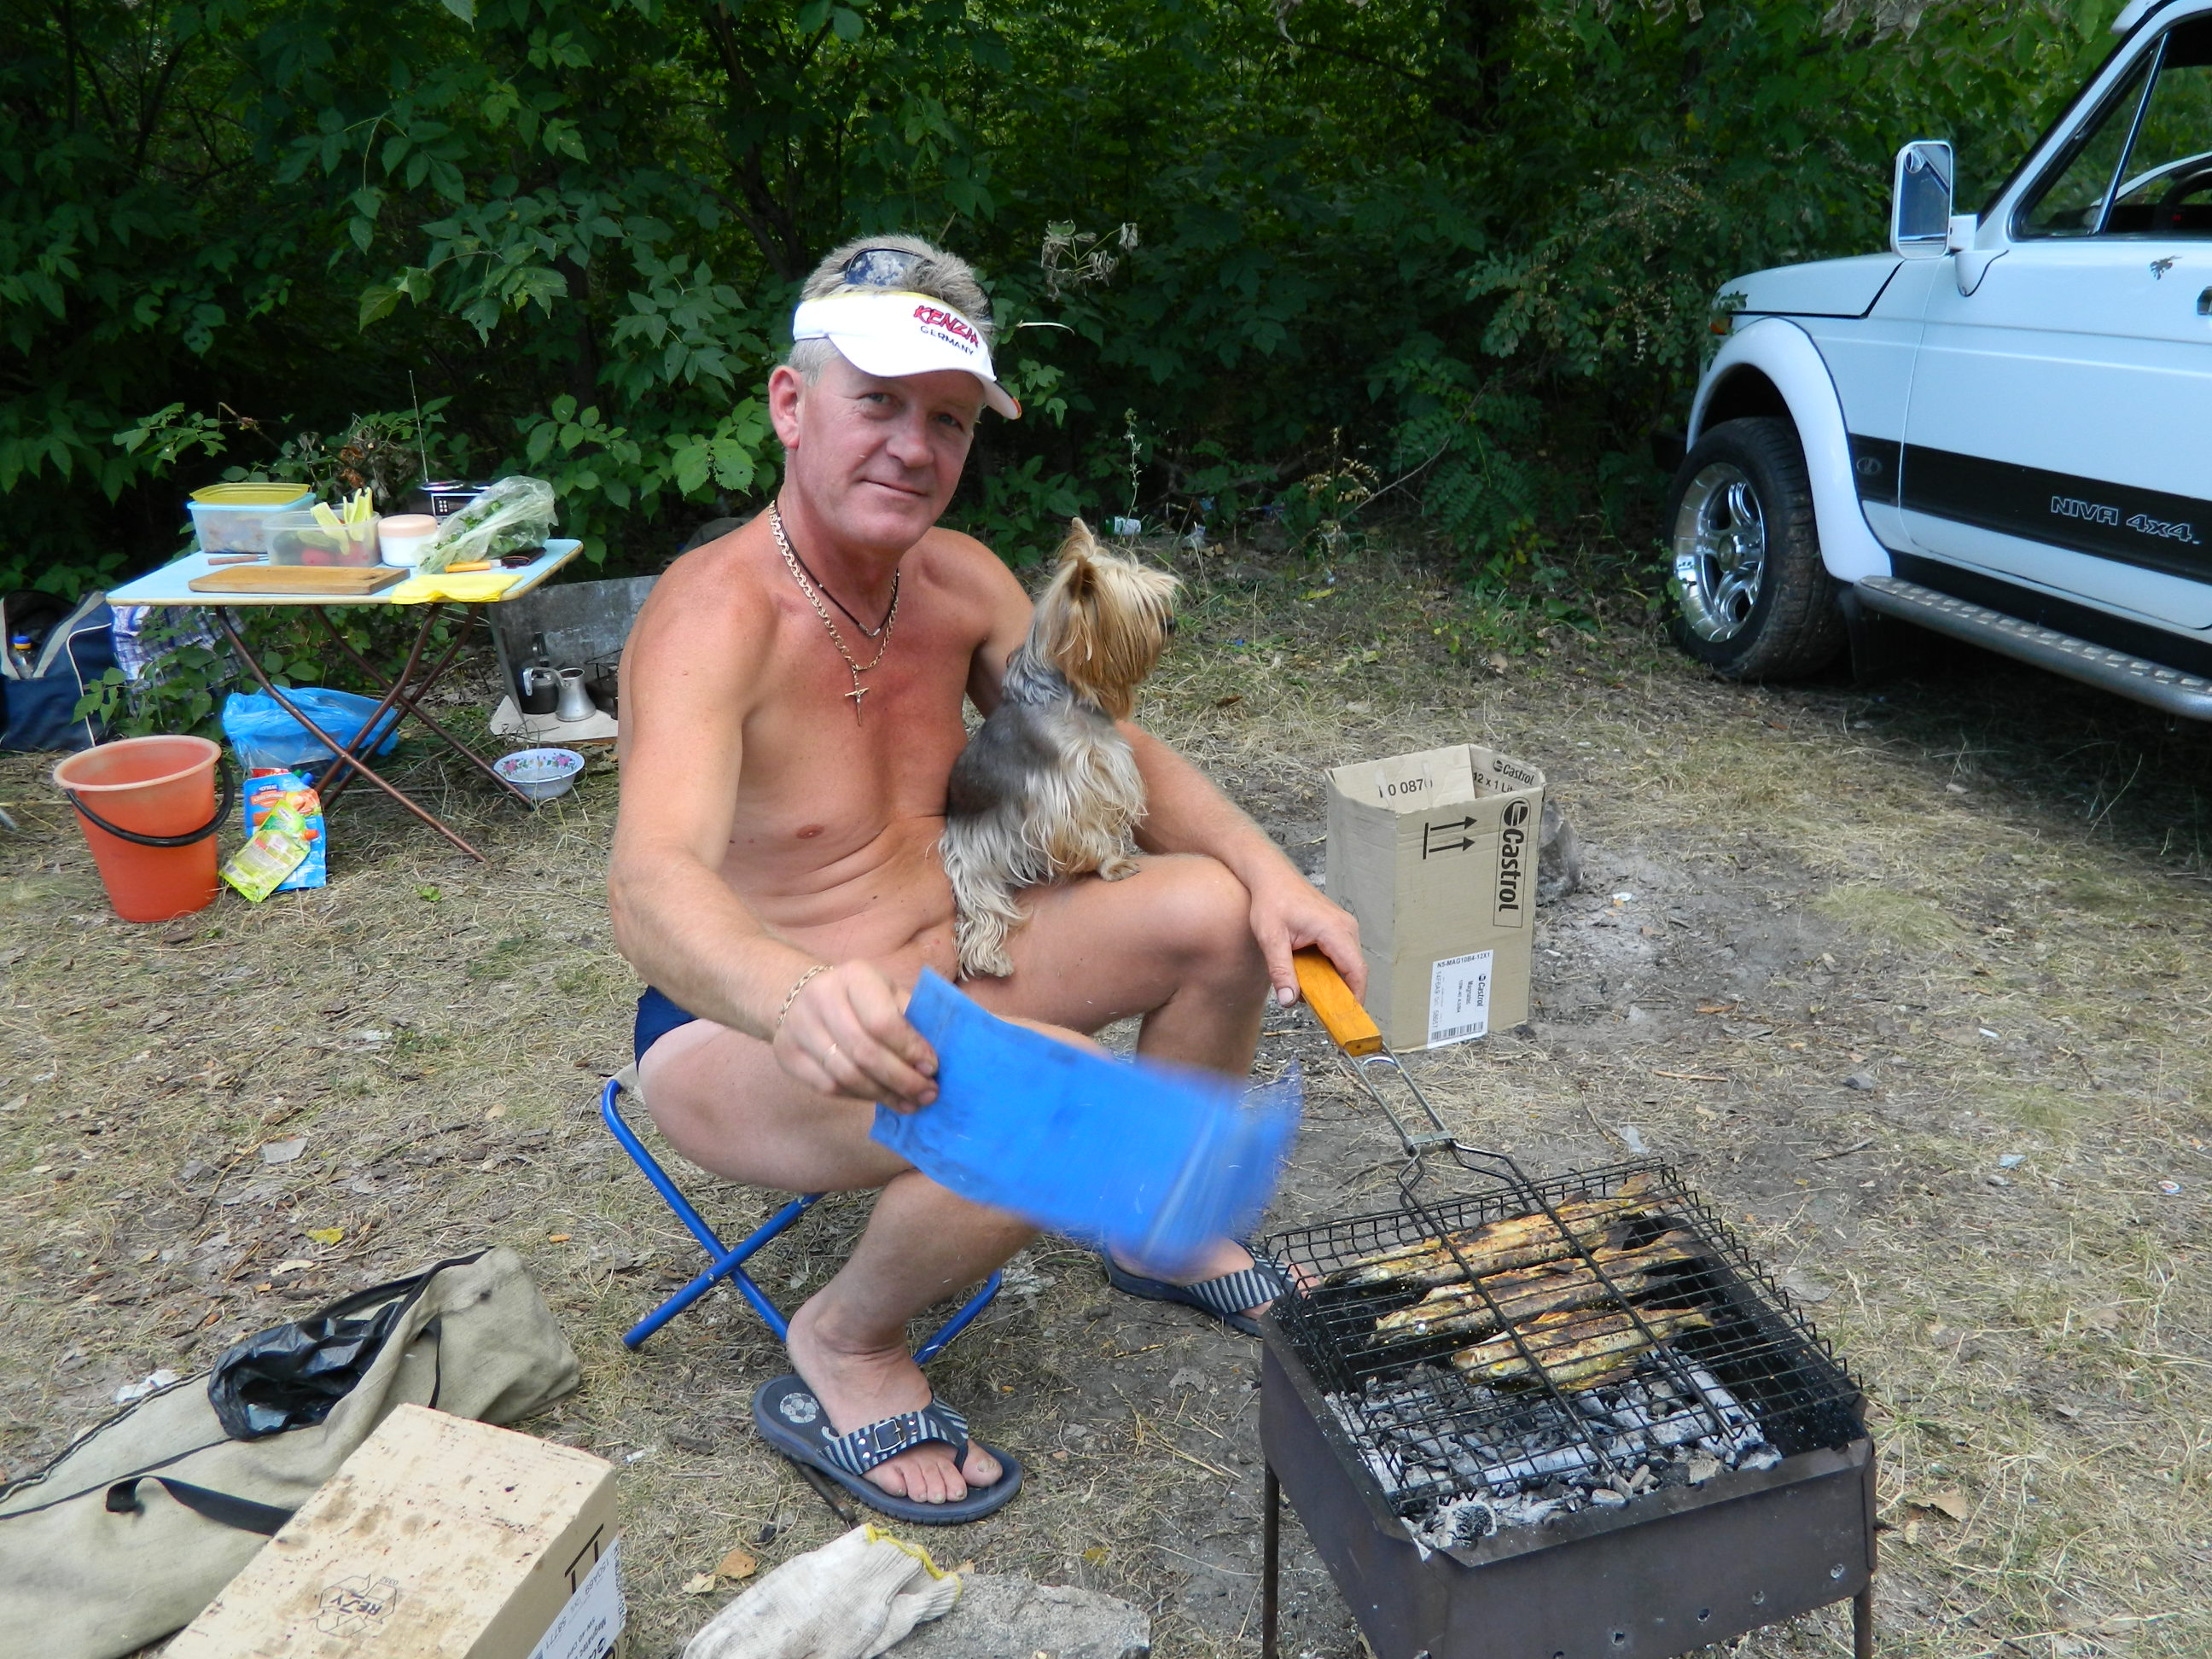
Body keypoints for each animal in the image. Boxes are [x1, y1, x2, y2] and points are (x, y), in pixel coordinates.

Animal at [942, 519, 1180, 979]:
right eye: (1141, 607)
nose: (1172, 623)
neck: (1064, 690)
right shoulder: (1064, 790)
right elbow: (1086, 829)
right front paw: (1113, 864)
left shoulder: (1104, 770)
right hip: (970, 858)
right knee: (981, 911)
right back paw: (992, 958)